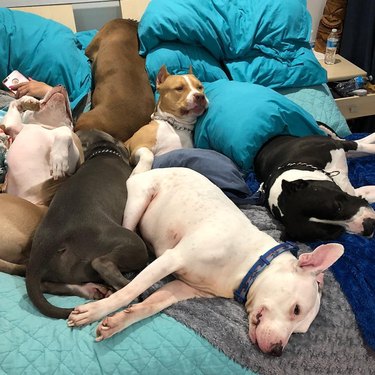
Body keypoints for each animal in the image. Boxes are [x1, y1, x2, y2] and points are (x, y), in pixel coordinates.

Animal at [67, 169, 344, 356]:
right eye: (296, 309)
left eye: (298, 332)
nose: (277, 351)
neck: (247, 263)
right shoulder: (172, 259)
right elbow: (130, 292)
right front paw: (97, 310)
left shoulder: (182, 289)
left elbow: (150, 306)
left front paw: (116, 323)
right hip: (138, 203)